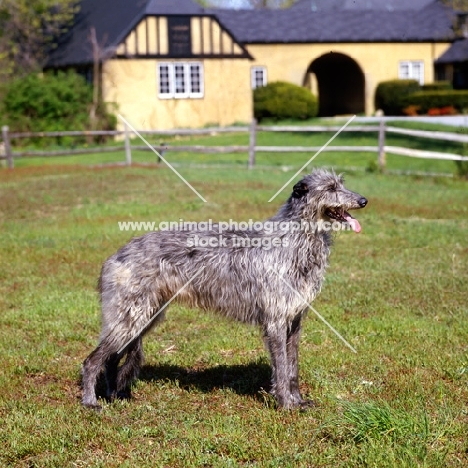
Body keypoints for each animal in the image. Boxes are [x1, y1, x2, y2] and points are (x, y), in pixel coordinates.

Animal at [81, 169, 366, 410]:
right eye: (330, 188)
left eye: (341, 183)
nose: (363, 200)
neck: (295, 240)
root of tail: (114, 257)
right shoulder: (275, 320)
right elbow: (282, 368)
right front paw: (286, 405)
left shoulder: (294, 320)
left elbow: (292, 366)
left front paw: (298, 401)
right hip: (131, 316)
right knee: (93, 360)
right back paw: (90, 402)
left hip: (145, 316)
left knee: (112, 358)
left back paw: (112, 395)